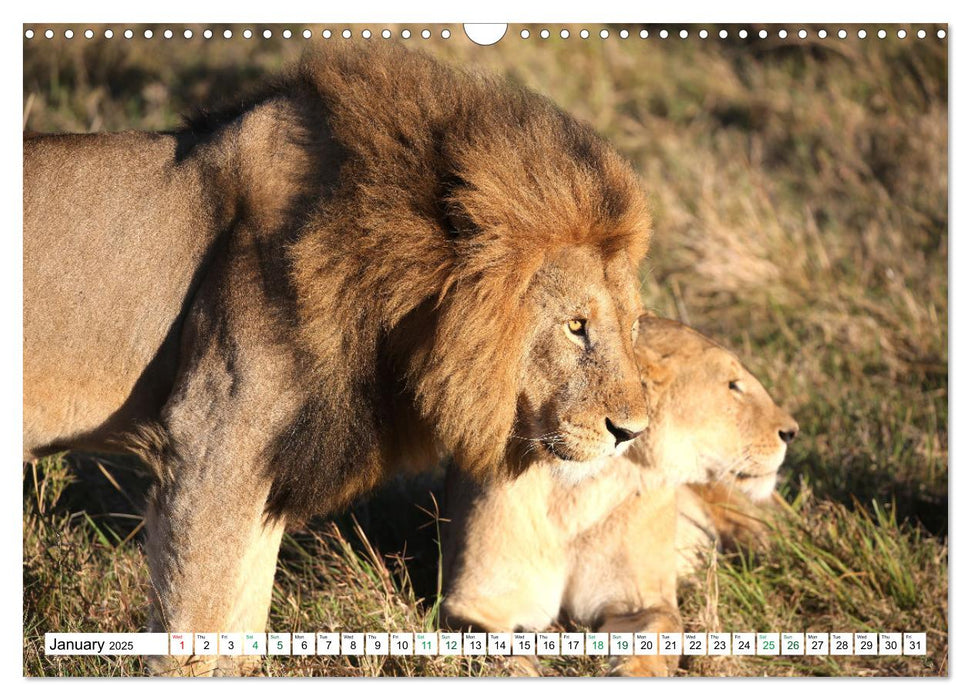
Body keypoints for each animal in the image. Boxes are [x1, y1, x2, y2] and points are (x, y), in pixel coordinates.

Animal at [22, 43, 652, 672]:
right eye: (576, 326)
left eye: (633, 325)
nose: (632, 432)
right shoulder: (208, 445)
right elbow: (193, 627)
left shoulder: (263, 469)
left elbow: (242, 622)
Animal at [440, 316, 796, 672]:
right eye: (733, 386)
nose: (792, 432)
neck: (575, 493)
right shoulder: (474, 603)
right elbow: (494, 651)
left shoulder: (640, 603)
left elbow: (652, 643)